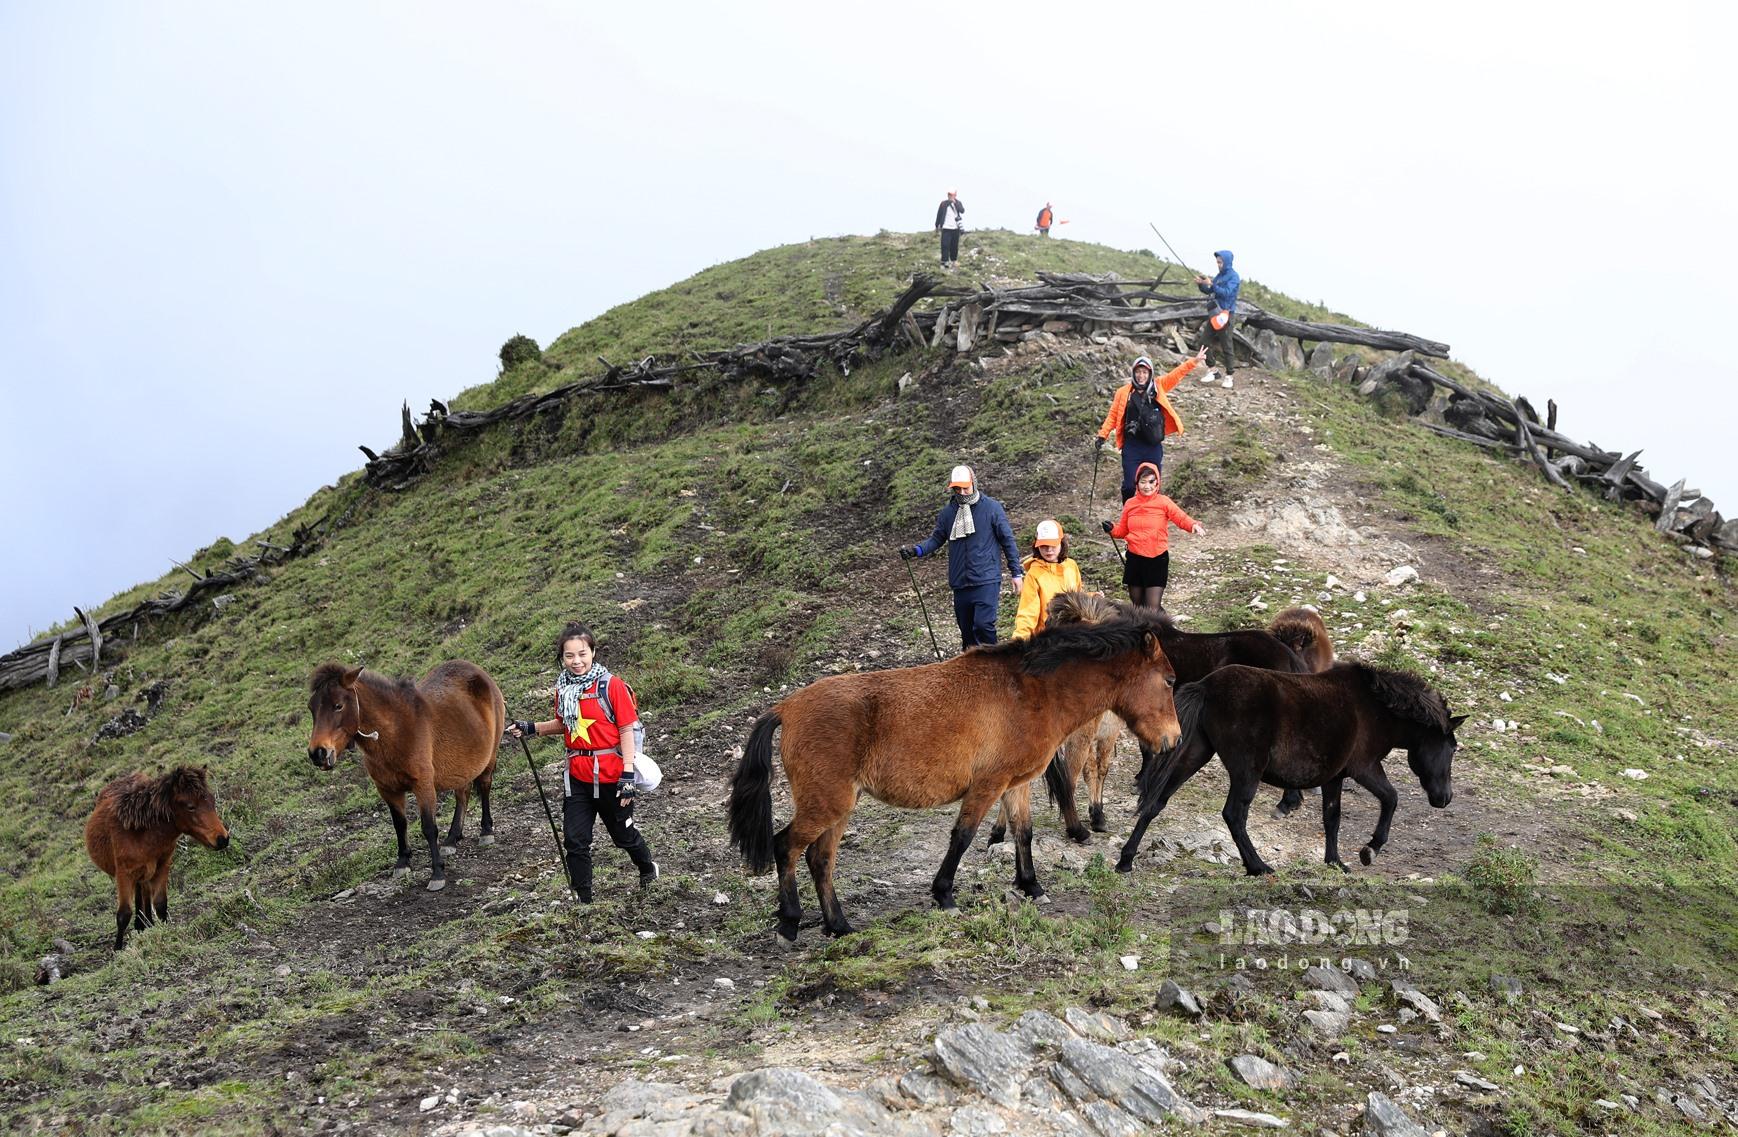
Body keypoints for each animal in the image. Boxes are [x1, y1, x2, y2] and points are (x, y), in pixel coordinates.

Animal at [85, 764, 231, 952]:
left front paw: (166, 931)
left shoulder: (162, 866)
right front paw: (117, 949)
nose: (222, 839)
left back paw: (145, 924)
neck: (139, 832)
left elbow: (160, 904)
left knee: (144, 896)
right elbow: (123, 914)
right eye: (191, 806)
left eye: (212, 801)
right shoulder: (124, 875)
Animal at [305, 664, 507, 897]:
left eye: (338, 706)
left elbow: (428, 827)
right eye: (311, 708)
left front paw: (437, 873)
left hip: (489, 757)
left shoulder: (423, 786)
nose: (317, 753)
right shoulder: (387, 790)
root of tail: (480, 674)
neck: (397, 730)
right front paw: (403, 862)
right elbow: (399, 824)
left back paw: (486, 831)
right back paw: (452, 839)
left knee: (484, 787)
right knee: (462, 794)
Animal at [726, 615, 1188, 945]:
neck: (1029, 691)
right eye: (1168, 680)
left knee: (819, 860)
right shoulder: (988, 785)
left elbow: (1023, 833)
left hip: (839, 807)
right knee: (785, 847)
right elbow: (962, 837)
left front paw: (1031, 885)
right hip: (827, 803)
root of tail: (786, 708)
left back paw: (838, 925)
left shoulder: (1014, 784)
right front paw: (944, 894)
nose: (1174, 739)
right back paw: (789, 923)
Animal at [1112, 664, 1466, 876]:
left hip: (1195, 755)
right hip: (1246, 771)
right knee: (1234, 815)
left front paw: (1335, 862)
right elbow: (1391, 799)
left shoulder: (1335, 778)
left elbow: (1332, 818)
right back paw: (1258, 866)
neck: (1374, 707)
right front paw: (1370, 849)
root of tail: (1208, 685)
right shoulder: (1364, 767)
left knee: (1155, 803)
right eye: (1452, 748)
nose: (1445, 798)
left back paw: (1126, 860)